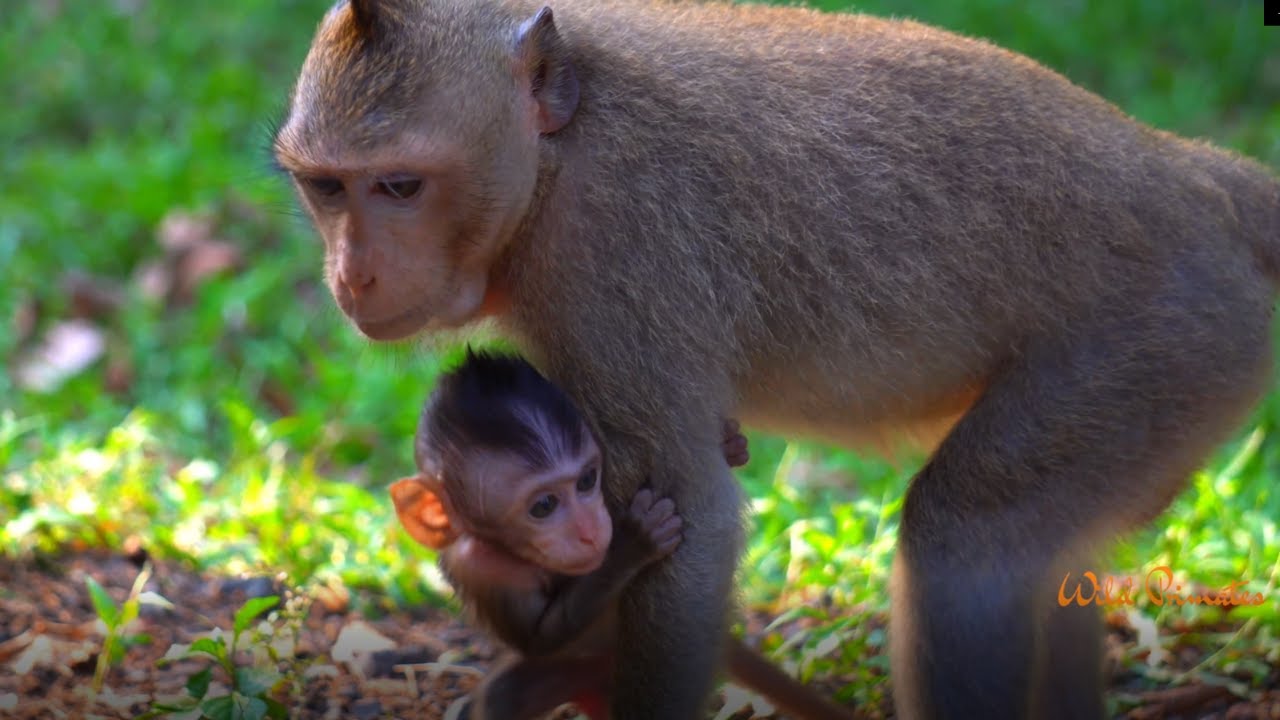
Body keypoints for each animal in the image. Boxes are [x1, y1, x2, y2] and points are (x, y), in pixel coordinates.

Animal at [389, 350, 853, 720]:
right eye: (543, 506)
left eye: (587, 481)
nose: (592, 530)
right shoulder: (484, 567)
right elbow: (542, 635)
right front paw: (633, 543)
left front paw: (731, 445)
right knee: (507, 695)